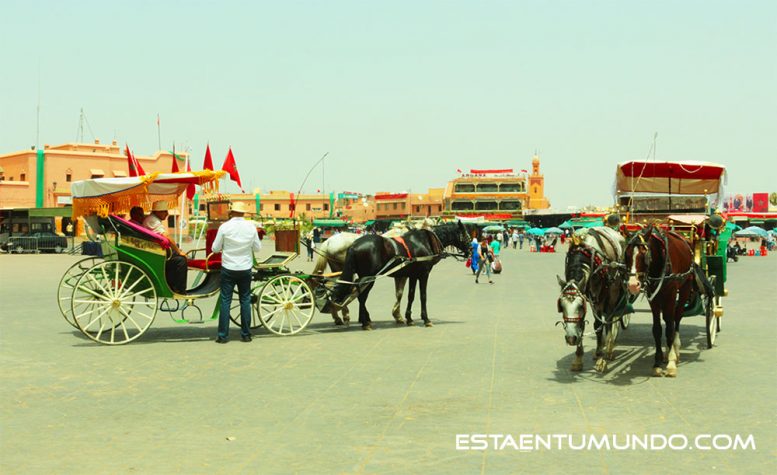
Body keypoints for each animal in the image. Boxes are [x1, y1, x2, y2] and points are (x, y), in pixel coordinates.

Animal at [624, 225, 696, 378]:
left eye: (644, 254)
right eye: (626, 255)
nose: (633, 285)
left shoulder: (671, 294)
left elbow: (669, 328)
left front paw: (671, 363)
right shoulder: (654, 298)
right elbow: (657, 329)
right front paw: (657, 363)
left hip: (685, 287)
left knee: (677, 318)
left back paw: (675, 349)